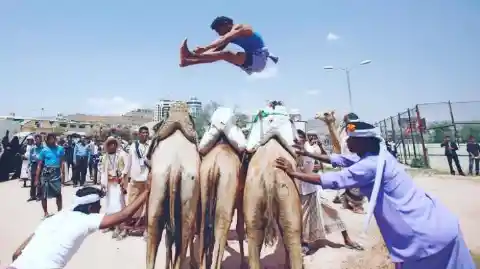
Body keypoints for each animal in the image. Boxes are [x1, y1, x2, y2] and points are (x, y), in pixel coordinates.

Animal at [196, 105, 246, 268]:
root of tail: (215, 166)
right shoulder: (240, 198)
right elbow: (240, 227)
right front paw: (243, 263)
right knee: (221, 227)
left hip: (204, 184)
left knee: (204, 226)